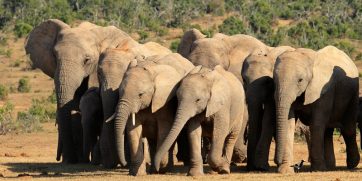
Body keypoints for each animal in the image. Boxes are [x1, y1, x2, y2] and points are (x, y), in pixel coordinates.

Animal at [272, 45, 360, 173]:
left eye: (300, 80)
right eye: (274, 80)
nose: (276, 161)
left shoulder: (324, 90)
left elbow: (317, 124)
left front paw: (317, 169)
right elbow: (289, 123)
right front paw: (286, 170)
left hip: (353, 94)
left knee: (348, 128)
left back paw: (352, 164)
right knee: (328, 131)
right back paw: (329, 166)